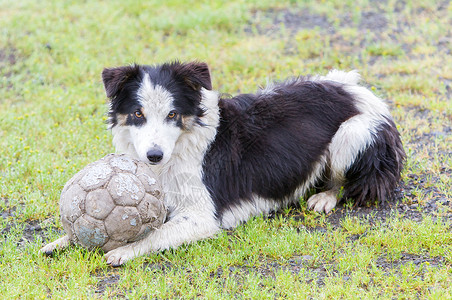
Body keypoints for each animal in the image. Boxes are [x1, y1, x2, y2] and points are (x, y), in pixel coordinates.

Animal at [42, 60, 404, 264]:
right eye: (137, 114)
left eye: (172, 114)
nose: (153, 156)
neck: (178, 150)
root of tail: (360, 90)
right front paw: (61, 240)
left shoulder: (203, 215)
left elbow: (158, 234)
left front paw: (124, 250)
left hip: (353, 132)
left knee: (343, 180)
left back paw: (325, 196)